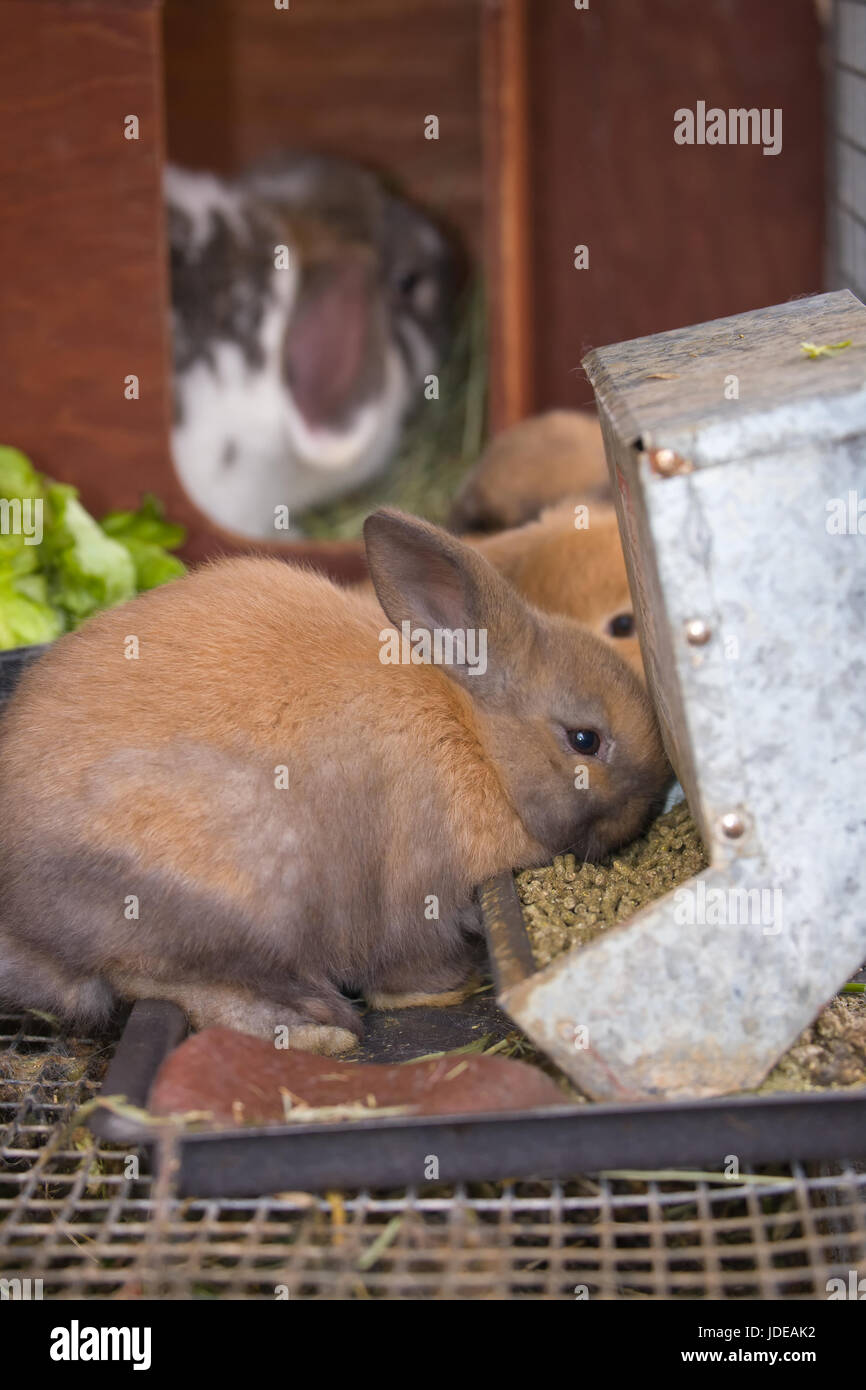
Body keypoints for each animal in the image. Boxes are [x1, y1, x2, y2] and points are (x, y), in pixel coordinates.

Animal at [0, 517, 670, 1045]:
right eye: (584, 740)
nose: (651, 804)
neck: (477, 744)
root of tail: (23, 925)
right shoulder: (417, 896)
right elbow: (409, 967)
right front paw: (444, 991)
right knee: (163, 982)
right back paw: (316, 1031)